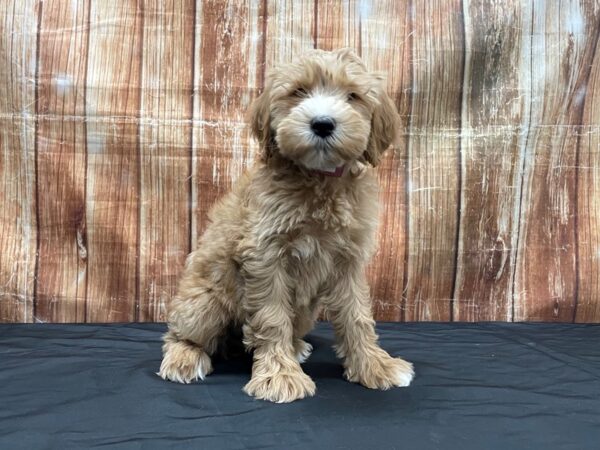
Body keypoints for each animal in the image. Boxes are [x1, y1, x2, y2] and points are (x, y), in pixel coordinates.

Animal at [157, 47, 414, 402]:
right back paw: (185, 356)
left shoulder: (348, 259)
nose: (322, 124)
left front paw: (374, 365)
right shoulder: (265, 256)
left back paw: (296, 347)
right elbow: (271, 318)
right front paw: (280, 376)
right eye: (298, 92)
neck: (318, 179)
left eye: (352, 96)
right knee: (181, 333)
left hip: (304, 311)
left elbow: (357, 315)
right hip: (204, 301)